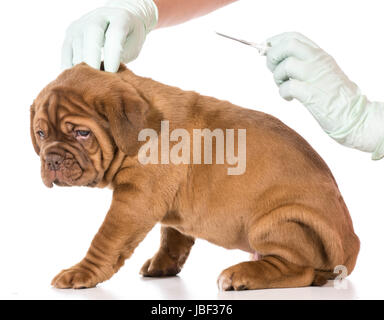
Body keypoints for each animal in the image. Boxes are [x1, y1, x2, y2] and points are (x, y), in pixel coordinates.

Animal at [30, 62, 360, 290]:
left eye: (82, 133)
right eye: (41, 133)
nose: (52, 159)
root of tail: (351, 248)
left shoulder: (134, 201)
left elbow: (106, 239)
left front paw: (81, 273)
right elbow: (172, 236)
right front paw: (163, 265)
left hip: (278, 221)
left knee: (298, 269)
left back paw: (242, 274)